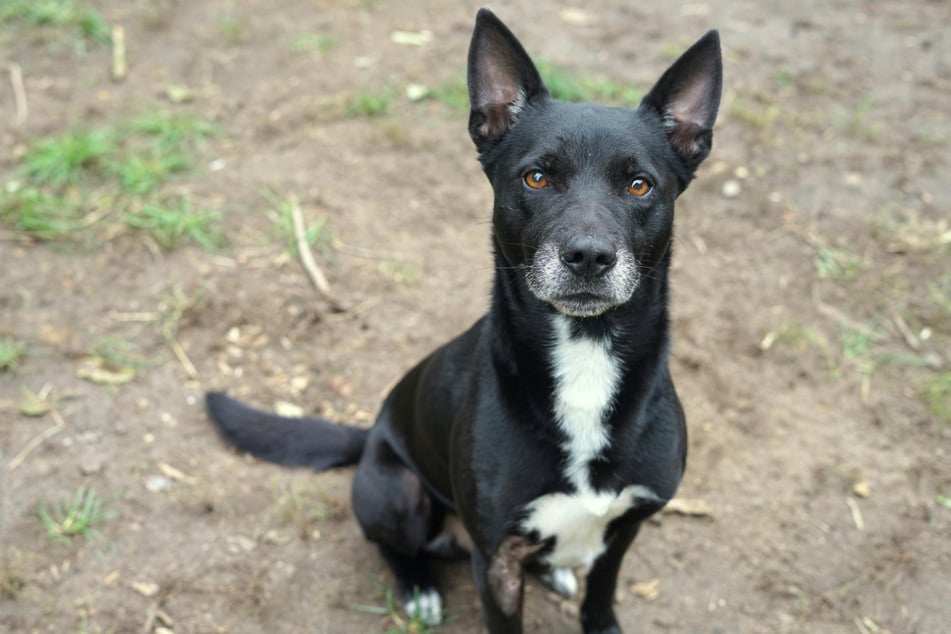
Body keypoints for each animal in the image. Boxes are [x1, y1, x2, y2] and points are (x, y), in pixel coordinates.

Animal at [205, 9, 716, 632]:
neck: (584, 355)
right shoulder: (495, 560)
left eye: (639, 184)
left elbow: (603, 592)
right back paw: (419, 587)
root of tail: (371, 431)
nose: (590, 257)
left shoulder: (625, 527)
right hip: (396, 491)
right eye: (537, 177)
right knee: (392, 545)